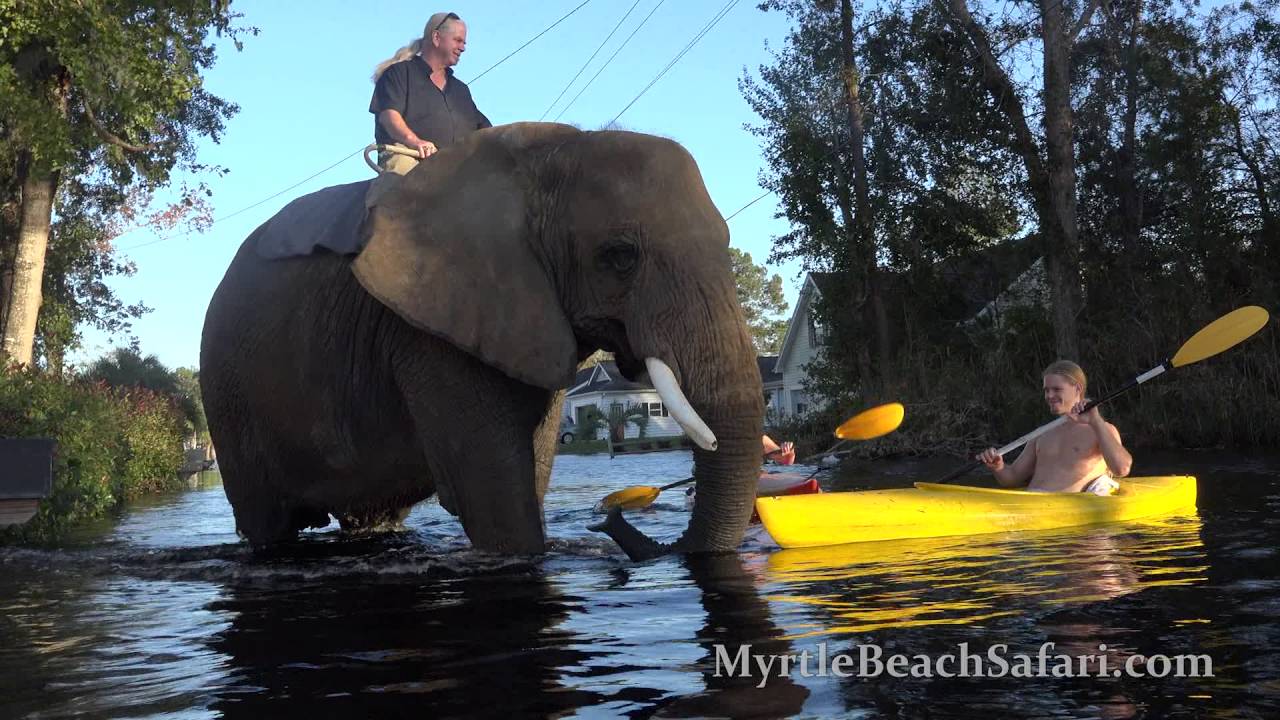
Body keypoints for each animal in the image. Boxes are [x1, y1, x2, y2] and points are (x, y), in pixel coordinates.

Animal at [200, 122, 764, 558]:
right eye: (621, 256)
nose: (606, 523)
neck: (549, 158)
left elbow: (532, 473)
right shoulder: (428, 331)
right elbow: (494, 498)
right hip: (228, 395)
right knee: (268, 524)